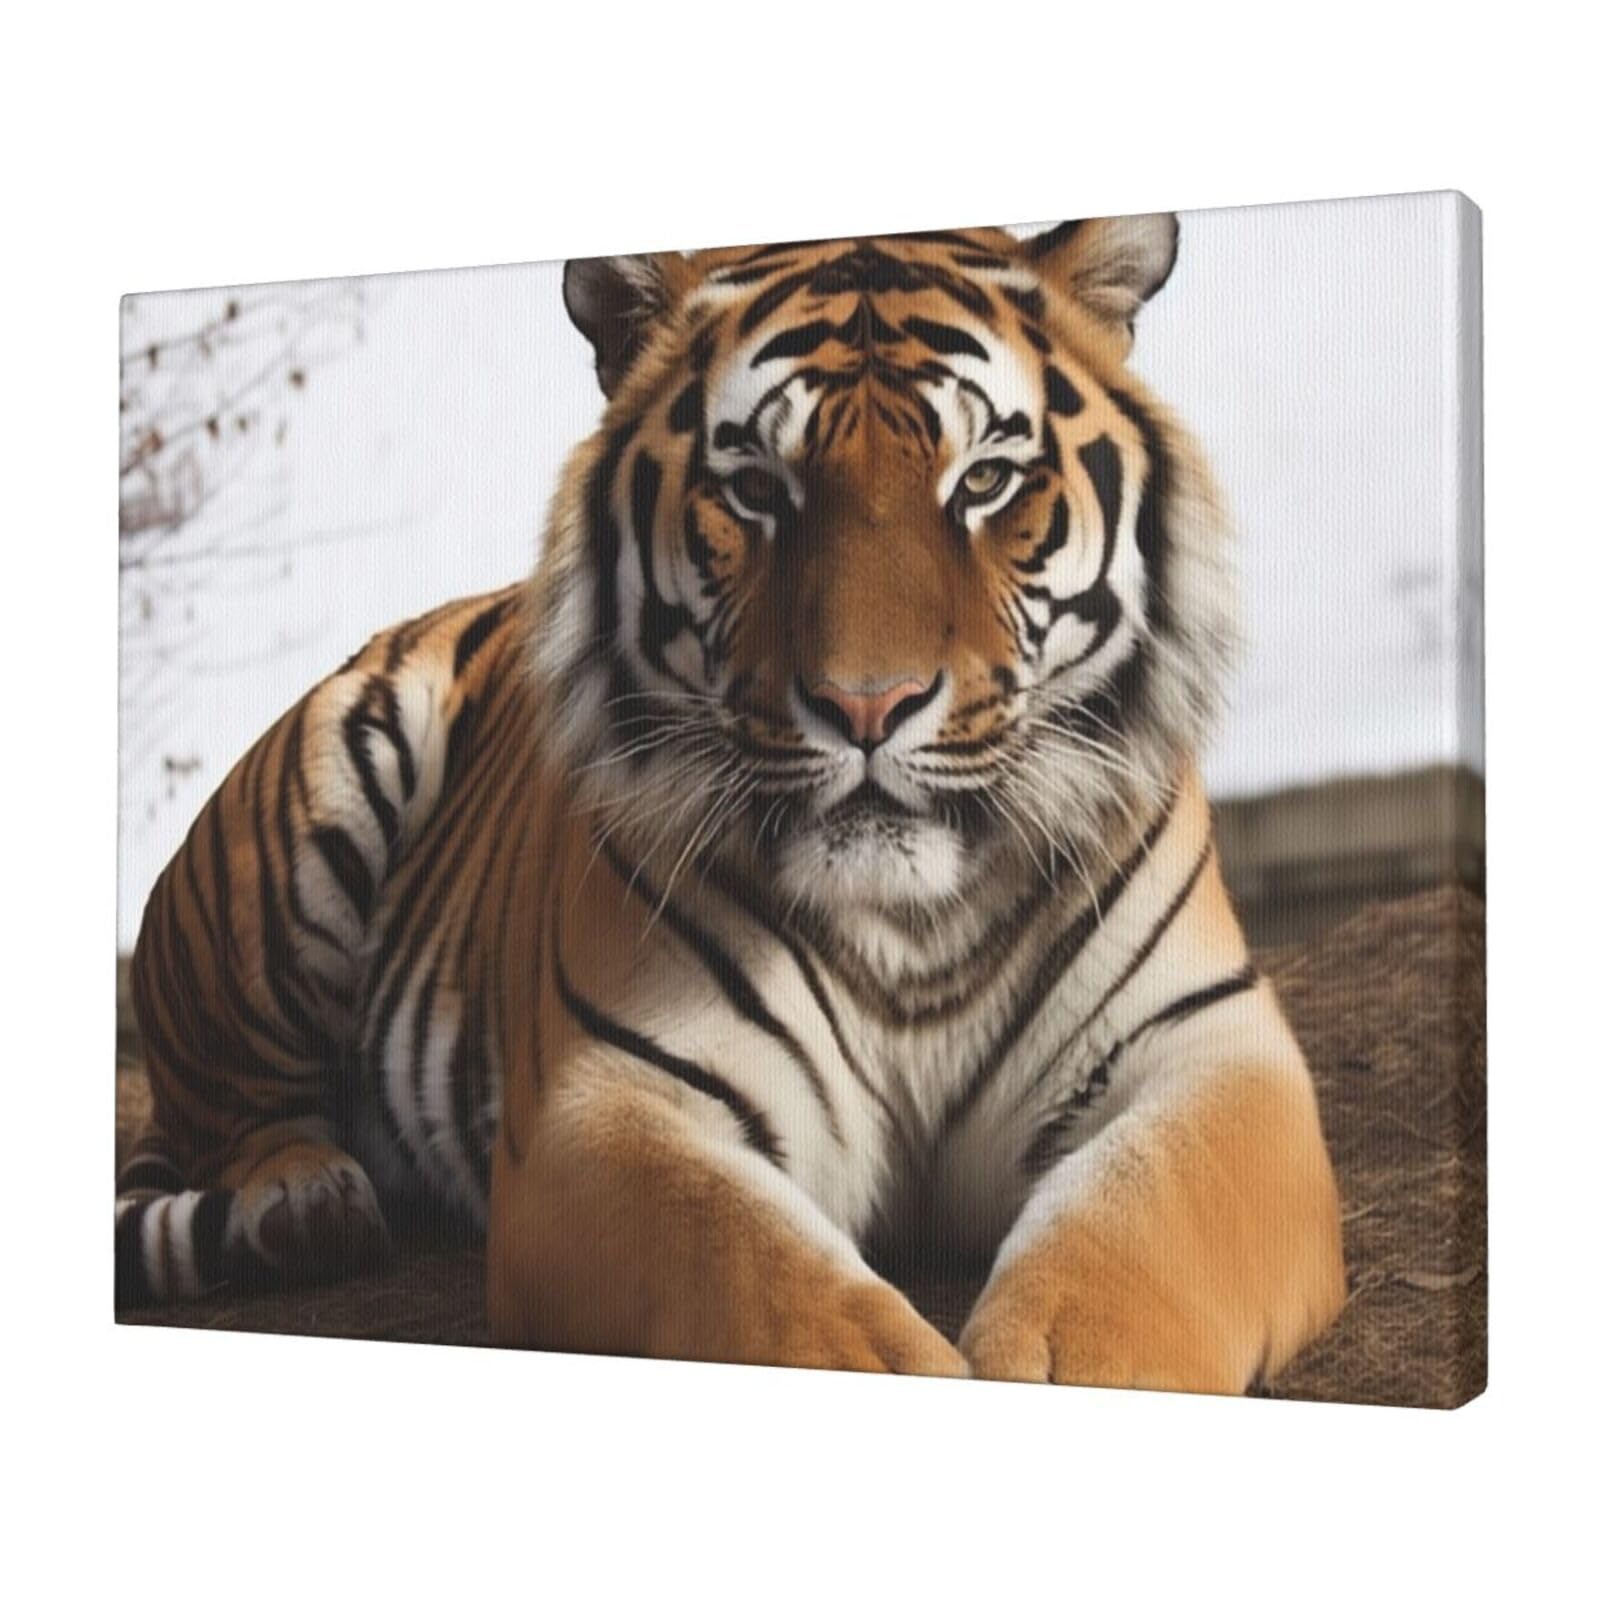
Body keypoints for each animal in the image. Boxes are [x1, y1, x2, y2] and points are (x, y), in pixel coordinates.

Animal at [117, 214, 1347, 1392]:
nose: (867, 703)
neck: (912, 929)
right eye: (757, 489)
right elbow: (763, 1278)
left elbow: (1128, 1243)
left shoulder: (1210, 1053)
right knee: (240, 1111)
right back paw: (305, 1203)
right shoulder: (612, 1099)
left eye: (983, 482)